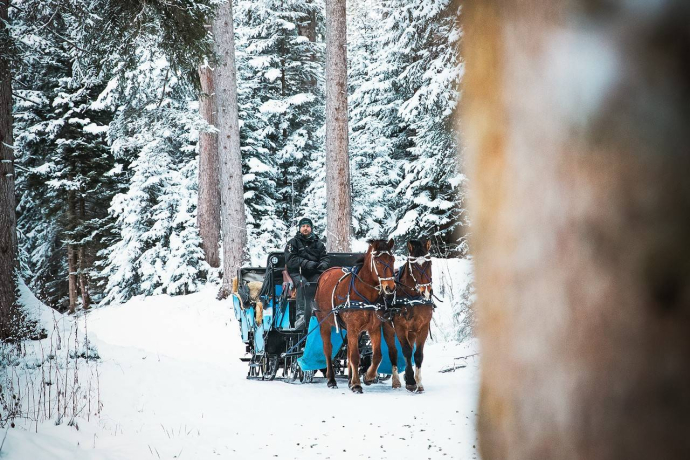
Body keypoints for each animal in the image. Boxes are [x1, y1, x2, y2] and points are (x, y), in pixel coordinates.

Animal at [313, 239, 396, 393]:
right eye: (378, 261)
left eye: (392, 259)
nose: (390, 287)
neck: (366, 296)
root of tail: (325, 273)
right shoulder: (352, 327)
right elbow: (355, 357)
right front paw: (357, 384)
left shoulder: (373, 328)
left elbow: (377, 355)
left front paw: (368, 377)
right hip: (324, 323)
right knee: (328, 349)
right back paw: (332, 380)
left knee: (349, 350)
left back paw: (350, 380)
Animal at [383, 239, 434, 393]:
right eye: (415, 266)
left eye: (429, 264)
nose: (426, 291)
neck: (412, 298)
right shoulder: (400, 327)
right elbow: (405, 351)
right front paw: (411, 381)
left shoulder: (423, 327)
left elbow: (417, 355)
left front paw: (418, 382)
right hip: (388, 329)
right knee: (393, 352)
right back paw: (396, 381)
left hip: (411, 331)